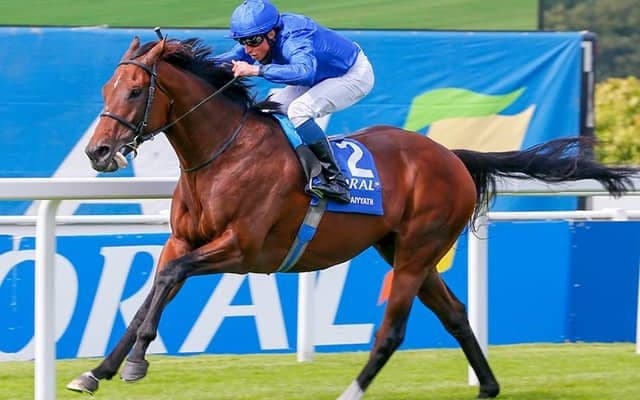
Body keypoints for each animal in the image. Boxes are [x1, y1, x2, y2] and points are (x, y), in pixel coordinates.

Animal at [68, 35, 637, 399]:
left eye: (135, 91)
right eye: (105, 91)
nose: (97, 152)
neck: (222, 154)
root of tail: (452, 157)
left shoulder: (243, 249)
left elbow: (168, 279)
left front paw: (135, 362)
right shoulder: (183, 240)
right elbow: (153, 289)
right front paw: (98, 370)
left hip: (415, 253)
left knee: (392, 331)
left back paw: (352, 390)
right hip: (405, 249)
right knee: (454, 314)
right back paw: (488, 387)